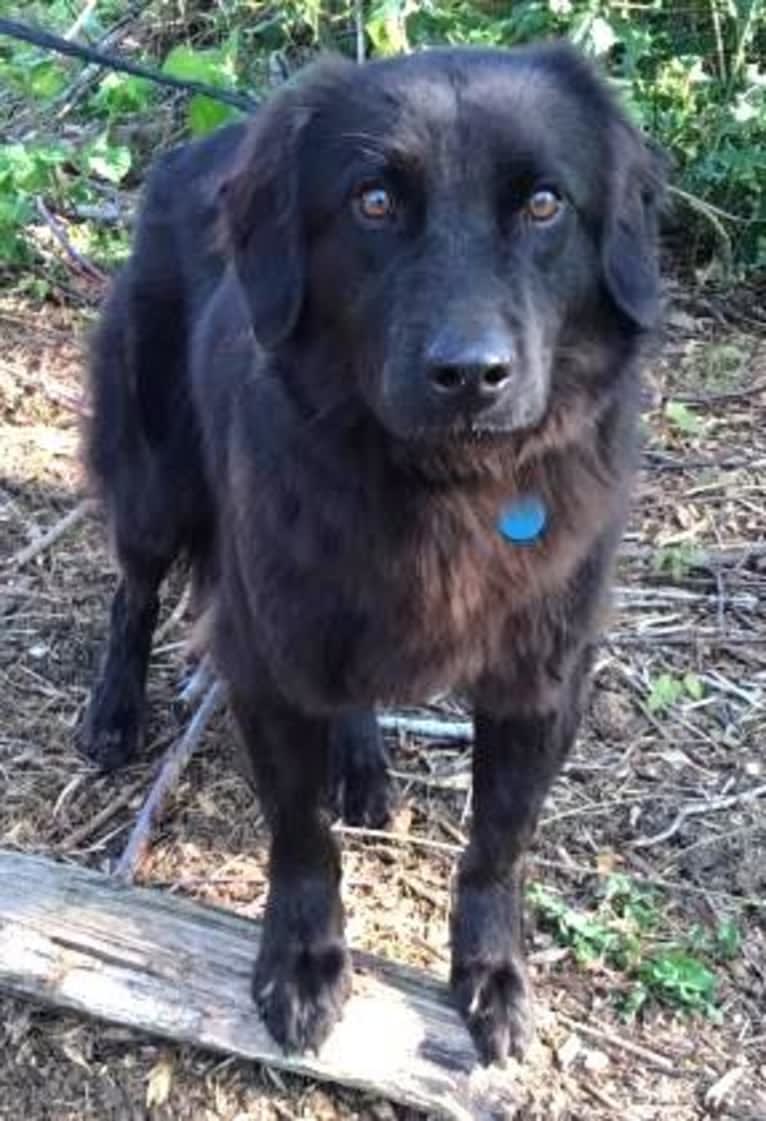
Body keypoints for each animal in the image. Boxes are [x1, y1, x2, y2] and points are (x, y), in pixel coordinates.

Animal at [79, 45, 663, 1067]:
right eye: (375, 202)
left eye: (545, 204)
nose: (469, 375)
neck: (442, 486)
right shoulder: (267, 652)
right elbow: (300, 834)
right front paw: (303, 964)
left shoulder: (543, 678)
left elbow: (499, 843)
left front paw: (491, 975)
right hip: (157, 478)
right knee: (134, 592)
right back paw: (115, 710)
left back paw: (360, 761)